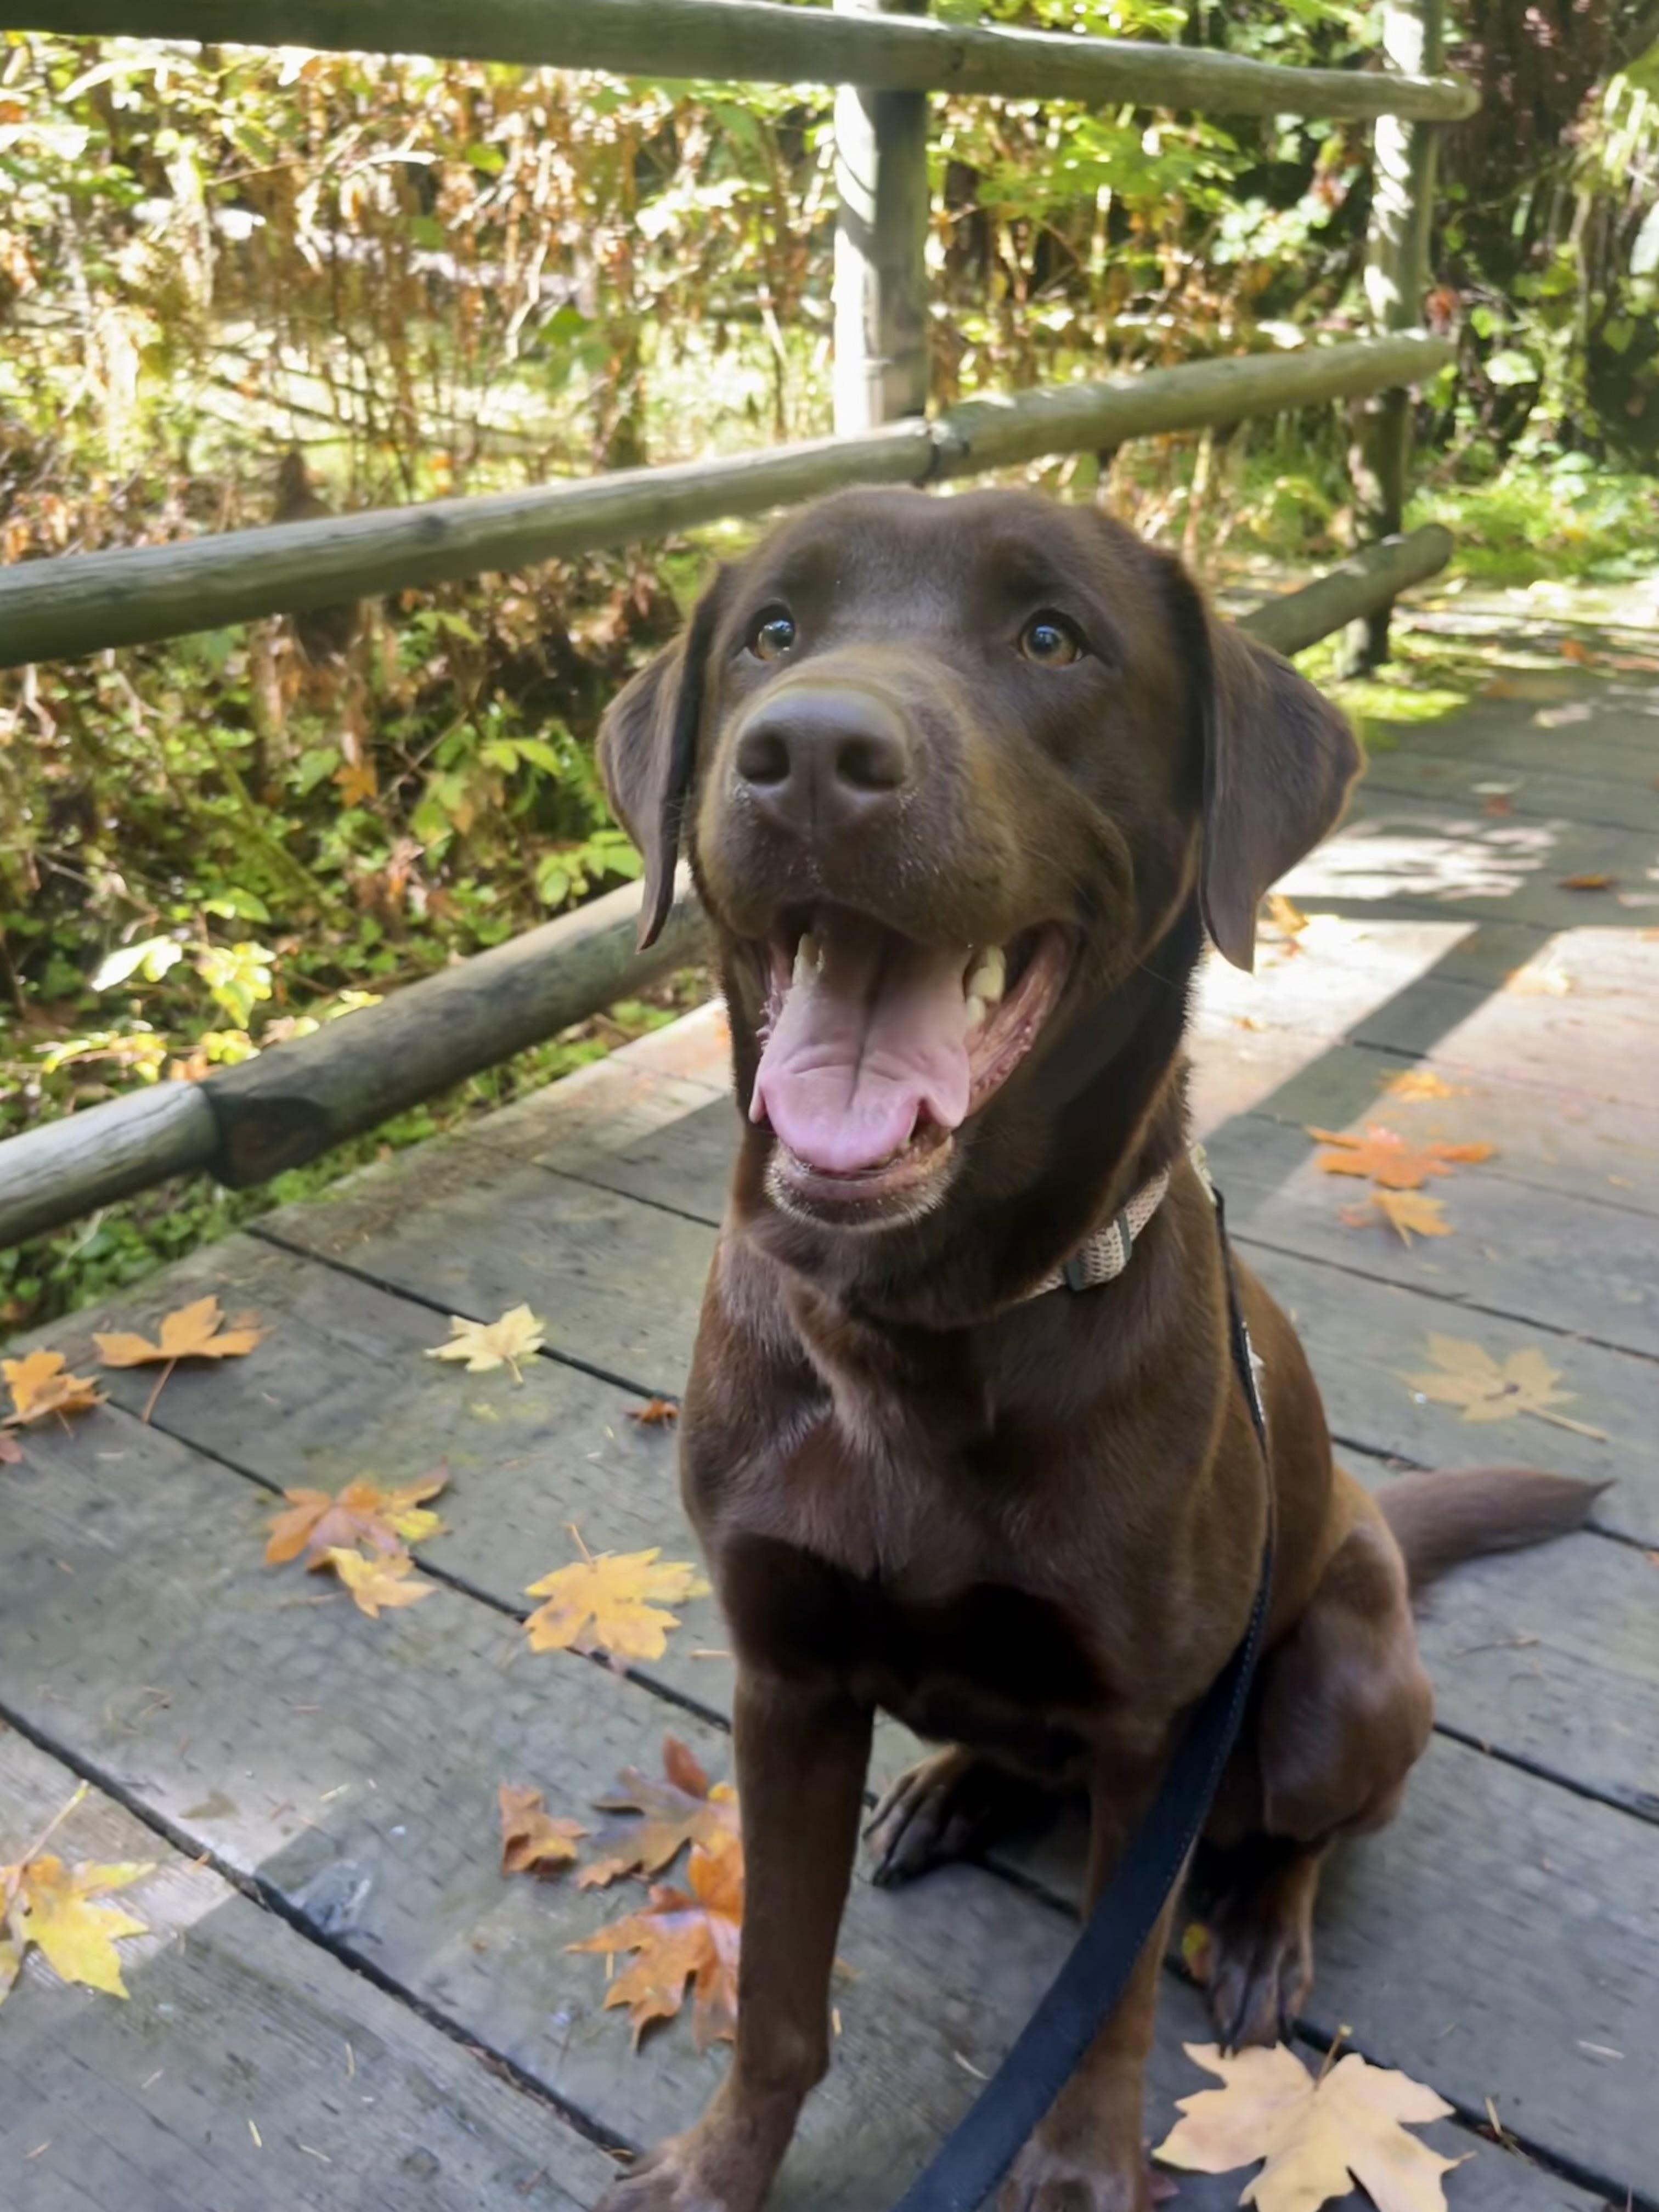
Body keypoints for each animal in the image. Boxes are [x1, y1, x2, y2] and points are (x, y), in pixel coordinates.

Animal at [592, 486, 1600, 2212]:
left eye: (1053, 638)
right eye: (770, 635)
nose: (809, 753)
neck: (922, 1328)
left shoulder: (1149, 1737)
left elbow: (1106, 2007)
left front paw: (1075, 2177)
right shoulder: (784, 1685)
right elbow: (779, 1996)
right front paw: (721, 2169)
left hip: (1331, 1682)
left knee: (1304, 1831)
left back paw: (1259, 1931)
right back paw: (951, 1788)